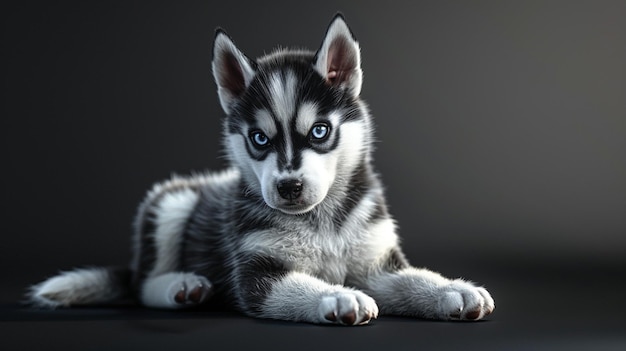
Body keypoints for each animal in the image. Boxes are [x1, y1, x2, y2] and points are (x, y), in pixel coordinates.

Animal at [29, 14, 492, 328]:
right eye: (259, 139)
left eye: (320, 131)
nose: (288, 187)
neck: (322, 221)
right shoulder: (257, 274)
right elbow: (299, 287)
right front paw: (339, 297)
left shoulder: (377, 266)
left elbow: (413, 279)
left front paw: (453, 288)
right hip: (171, 204)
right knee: (143, 285)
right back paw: (182, 286)